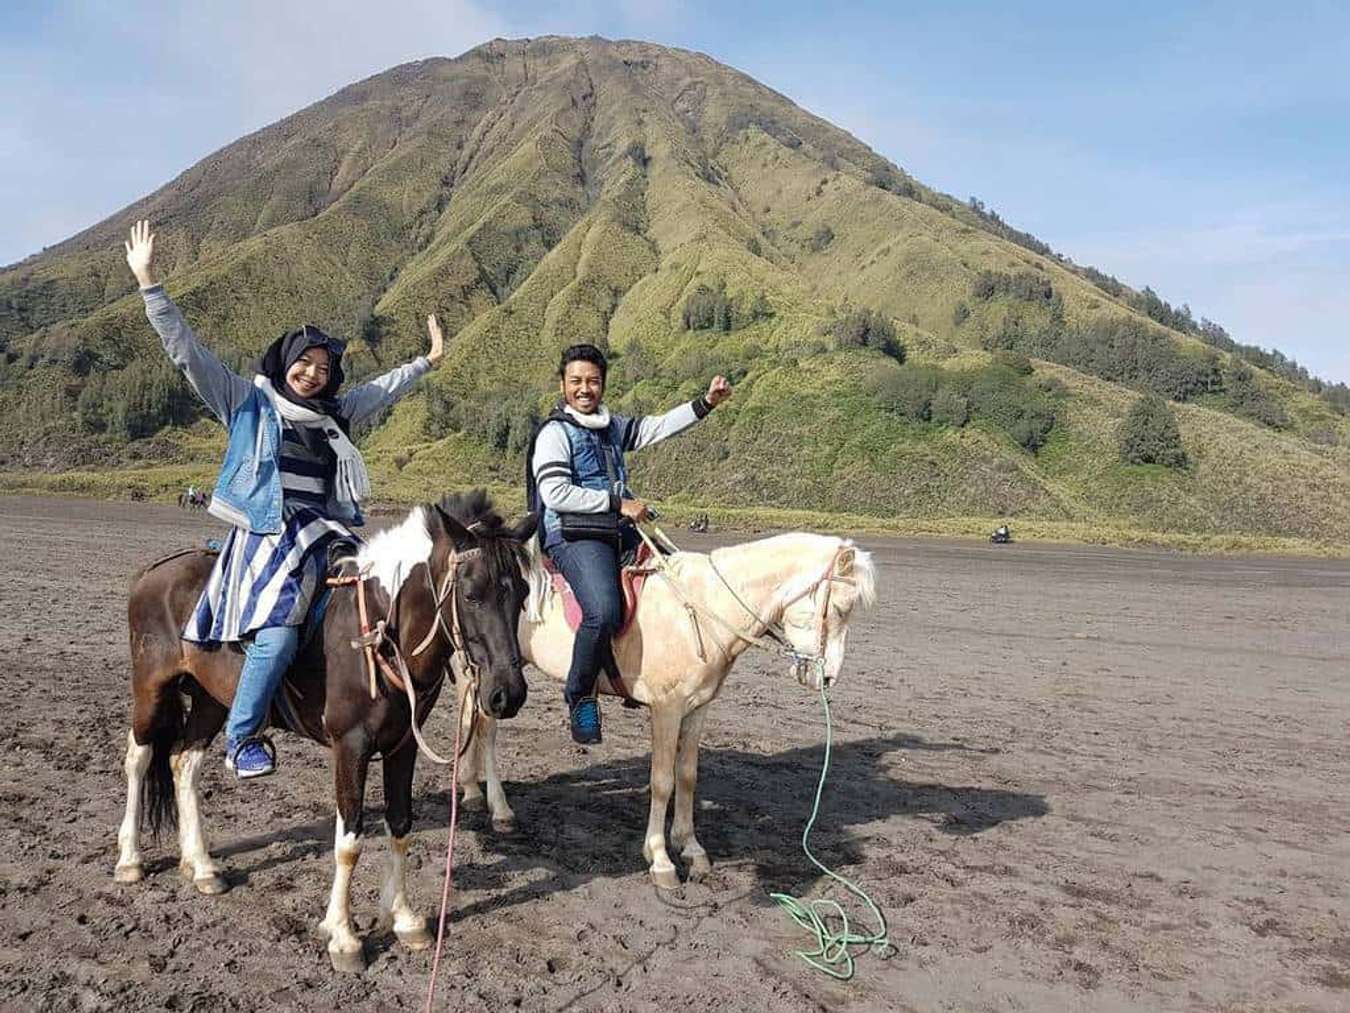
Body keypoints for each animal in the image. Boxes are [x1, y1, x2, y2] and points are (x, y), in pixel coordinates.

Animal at [116, 494, 534, 977]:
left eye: (522, 594)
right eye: (471, 594)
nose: (508, 693)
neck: (379, 633)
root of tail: (154, 572)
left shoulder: (403, 744)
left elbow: (400, 824)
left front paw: (404, 918)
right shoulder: (350, 747)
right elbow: (349, 842)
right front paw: (343, 935)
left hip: (210, 700)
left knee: (184, 763)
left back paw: (201, 866)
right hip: (151, 689)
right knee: (139, 758)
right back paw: (130, 860)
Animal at [453, 534, 874, 891]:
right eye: (839, 608)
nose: (827, 676)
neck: (702, 610)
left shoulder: (698, 708)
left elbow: (687, 777)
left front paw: (690, 847)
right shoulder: (666, 710)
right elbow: (662, 782)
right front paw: (660, 858)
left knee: (472, 722)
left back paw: (471, 789)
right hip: (488, 674)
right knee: (484, 730)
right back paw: (498, 809)